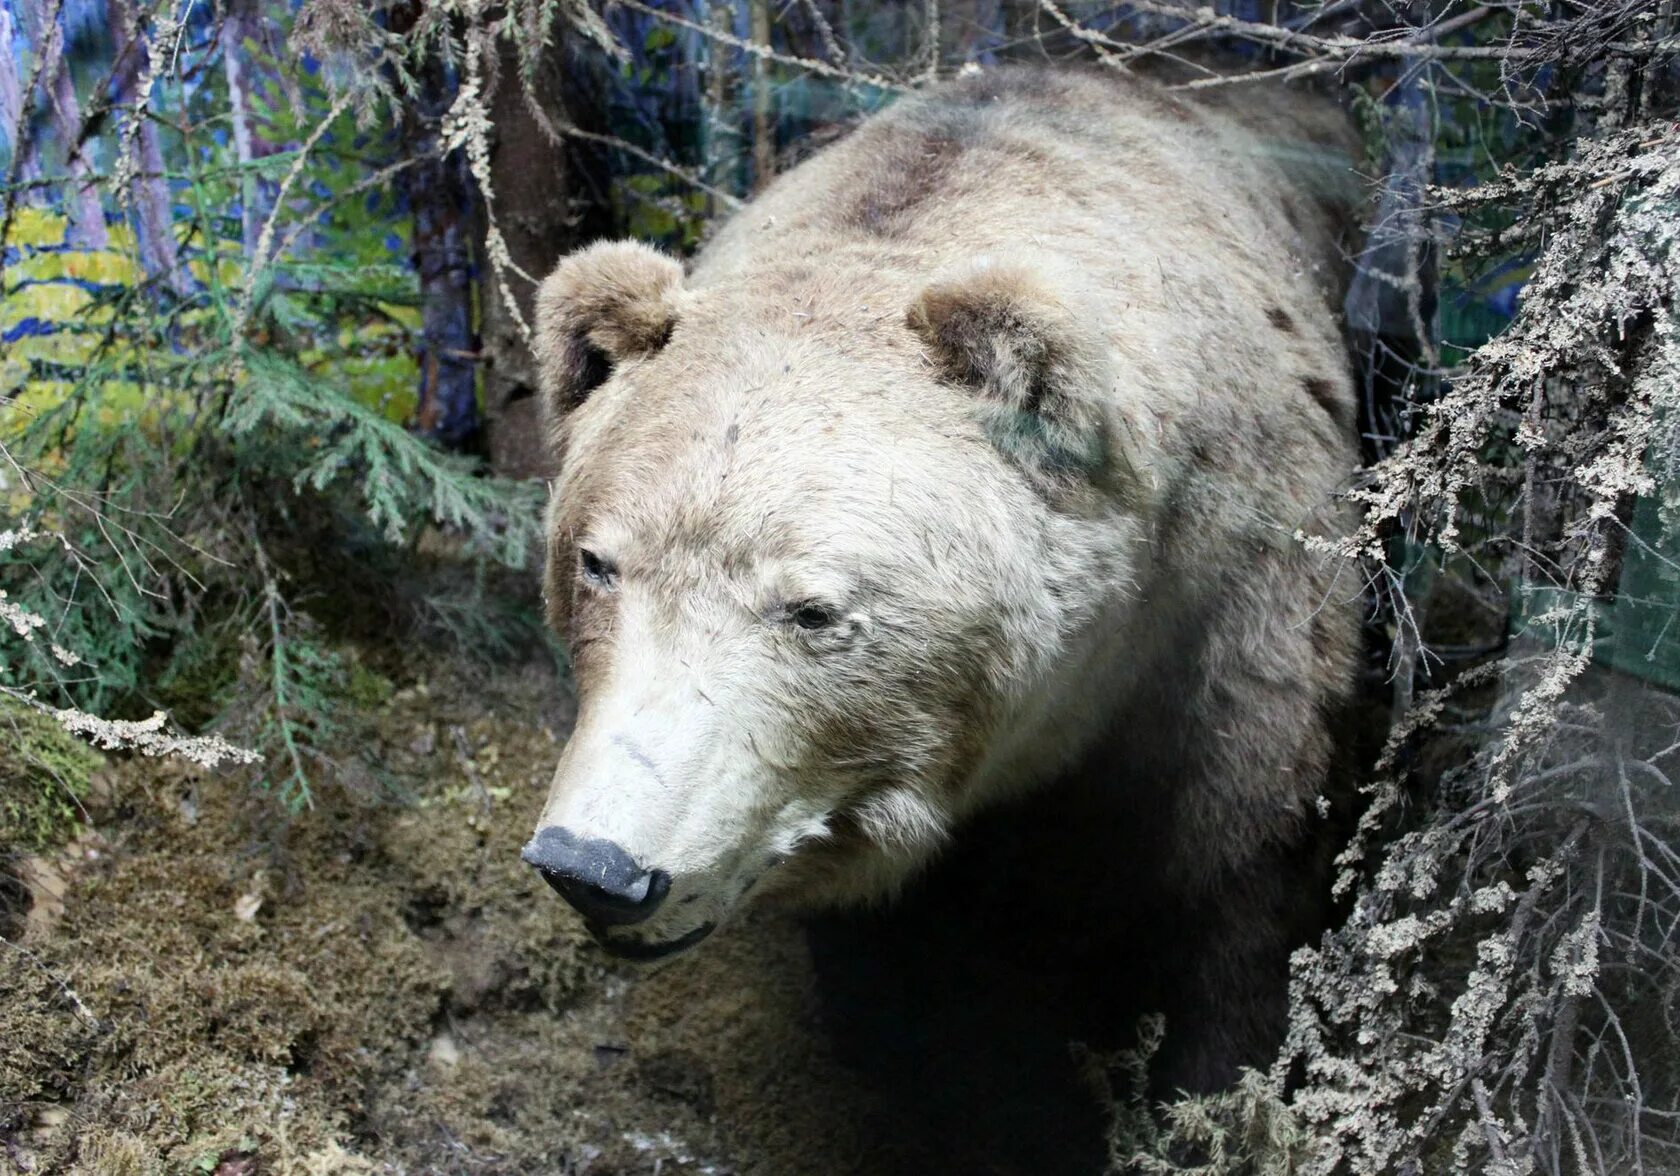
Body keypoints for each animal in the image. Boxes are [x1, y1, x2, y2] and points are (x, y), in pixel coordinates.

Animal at [524, 64, 1364, 1108]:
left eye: (811, 609)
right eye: (598, 562)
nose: (595, 865)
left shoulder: (1241, 605)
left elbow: (1245, 860)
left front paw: (1209, 1076)